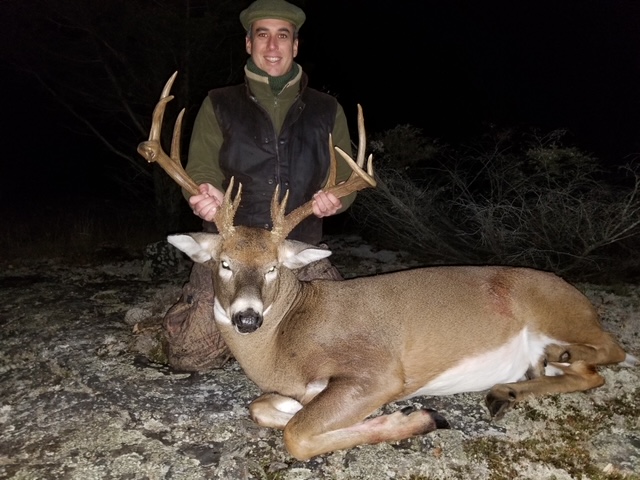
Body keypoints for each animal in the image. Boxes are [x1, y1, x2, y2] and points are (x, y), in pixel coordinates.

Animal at [138, 72, 638, 461]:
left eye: (274, 268)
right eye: (224, 262)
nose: (246, 318)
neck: (283, 346)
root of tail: (578, 296)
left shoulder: (379, 370)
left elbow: (297, 434)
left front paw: (418, 417)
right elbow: (265, 408)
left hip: (557, 310)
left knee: (610, 353)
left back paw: (552, 360)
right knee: (587, 374)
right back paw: (510, 388)